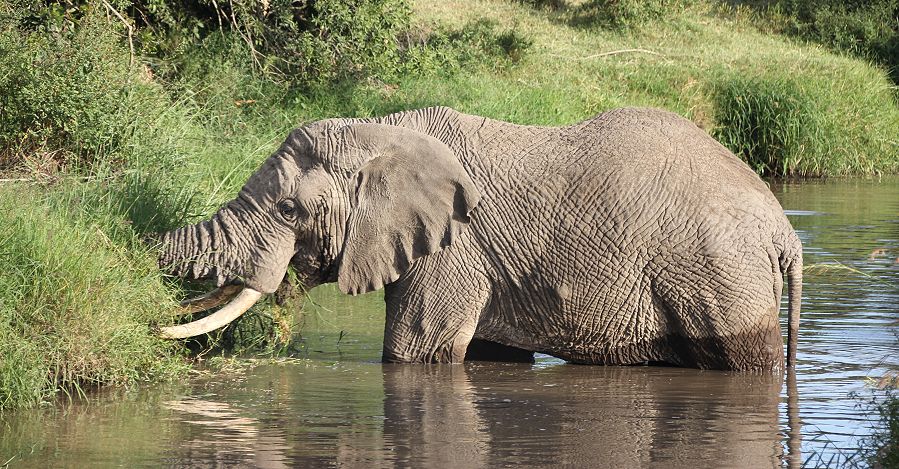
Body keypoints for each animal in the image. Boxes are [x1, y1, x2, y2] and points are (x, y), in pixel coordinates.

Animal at [158, 108, 804, 372]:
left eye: (289, 208)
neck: (381, 132)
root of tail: (786, 232)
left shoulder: (454, 249)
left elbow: (414, 353)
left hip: (721, 273)